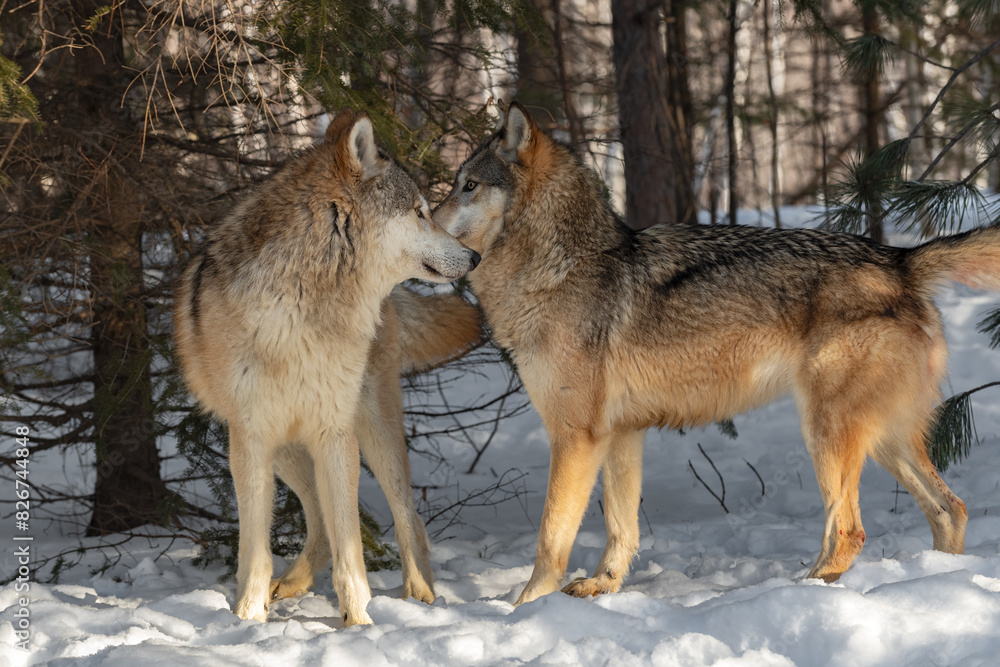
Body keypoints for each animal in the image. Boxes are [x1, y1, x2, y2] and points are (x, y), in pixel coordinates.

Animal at [174, 108, 481, 625]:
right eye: (419, 212)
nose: (476, 255)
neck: (303, 301)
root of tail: (390, 301)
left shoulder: (335, 433)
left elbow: (351, 551)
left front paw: (360, 622)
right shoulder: (252, 438)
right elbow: (255, 550)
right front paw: (247, 618)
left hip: (371, 430)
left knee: (407, 514)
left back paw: (422, 597)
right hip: (283, 448)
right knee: (316, 518)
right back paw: (288, 585)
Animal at [434, 101, 1000, 606]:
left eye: (468, 186)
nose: (424, 219)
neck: (561, 266)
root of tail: (900, 259)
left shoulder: (576, 436)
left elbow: (551, 539)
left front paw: (525, 611)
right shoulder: (620, 434)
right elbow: (621, 528)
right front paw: (602, 587)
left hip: (828, 433)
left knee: (849, 533)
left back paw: (793, 592)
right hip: (883, 440)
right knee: (951, 509)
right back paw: (937, 578)